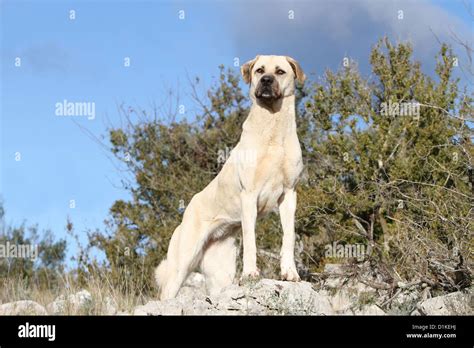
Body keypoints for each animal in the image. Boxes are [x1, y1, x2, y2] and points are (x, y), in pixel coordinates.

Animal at [154, 54, 306, 300]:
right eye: (260, 70)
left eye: (280, 72)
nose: (265, 80)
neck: (273, 129)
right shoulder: (249, 194)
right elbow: (251, 240)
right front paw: (251, 273)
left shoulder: (289, 195)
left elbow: (288, 237)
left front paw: (290, 273)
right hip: (181, 263)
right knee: (167, 293)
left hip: (220, 273)